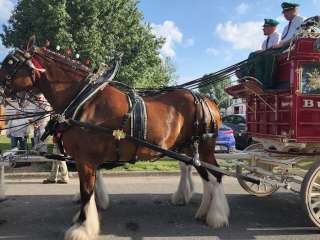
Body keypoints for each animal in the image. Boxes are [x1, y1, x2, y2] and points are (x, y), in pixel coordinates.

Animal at [0, 36, 230, 239]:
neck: (84, 101)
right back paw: (204, 211)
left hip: (204, 147)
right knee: (206, 177)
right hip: (190, 149)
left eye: (10, 62)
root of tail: (208, 100)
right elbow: (90, 190)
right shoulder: (88, 160)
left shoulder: (85, 160)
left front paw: (82, 227)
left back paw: (216, 216)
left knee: (216, 176)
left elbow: (87, 191)